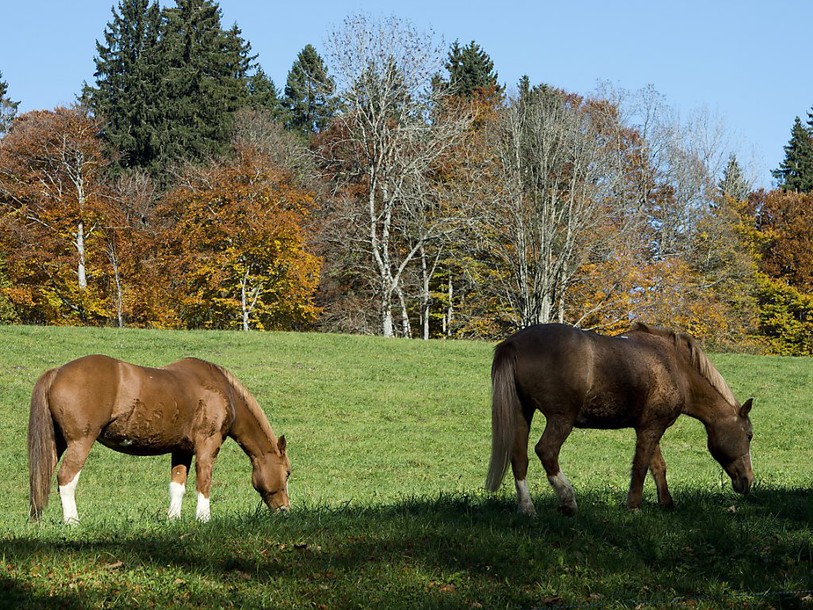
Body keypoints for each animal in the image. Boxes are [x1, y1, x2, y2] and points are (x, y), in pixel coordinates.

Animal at [28, 355, 290, 524]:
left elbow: (177, 486)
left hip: (56, 444)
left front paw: (173, 520)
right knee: (66, 478)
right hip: (80, 442)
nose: (285, 510)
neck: (223, 391)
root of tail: (56, 372)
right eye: (288, 473)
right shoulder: (208, 446)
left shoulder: (182, 450)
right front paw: (204, 519)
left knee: (42, 476)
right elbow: (204, 482)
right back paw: (72, 522)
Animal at [485, 323, 754, 516]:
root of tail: (514, 343)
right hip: (561, 419)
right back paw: (568, 500)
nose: (748, 480)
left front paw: (666, 503)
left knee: (519, 457)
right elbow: (641, 466)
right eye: (749, 435)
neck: (674, 367)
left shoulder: (649, 426)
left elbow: (658, 466)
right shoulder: (651, 428)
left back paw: (527, 509)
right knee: (546, 451)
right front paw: (633, 506)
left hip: (523, 413)